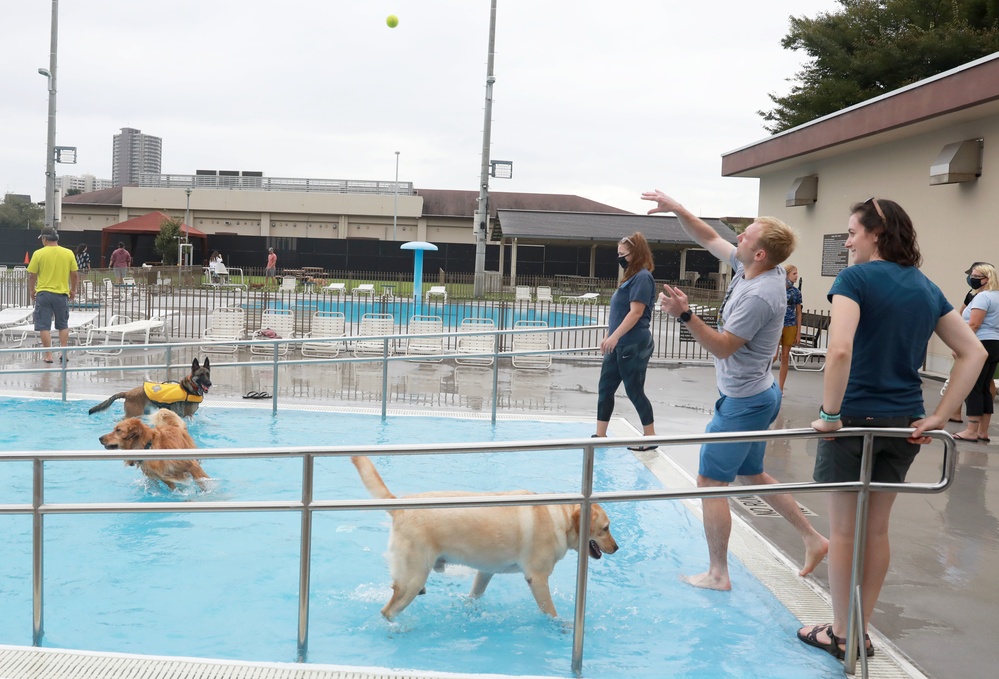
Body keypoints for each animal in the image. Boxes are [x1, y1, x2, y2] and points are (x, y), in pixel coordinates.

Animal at [352, 456, 616, 620]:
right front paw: (561, 626)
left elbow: (475, 594)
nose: (617, 547)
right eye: (606, 528)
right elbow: (551, 611)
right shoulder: (538, 579)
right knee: (388, 611)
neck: (559, 516)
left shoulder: (486, 571)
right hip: (413, 578)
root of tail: (400, 506)